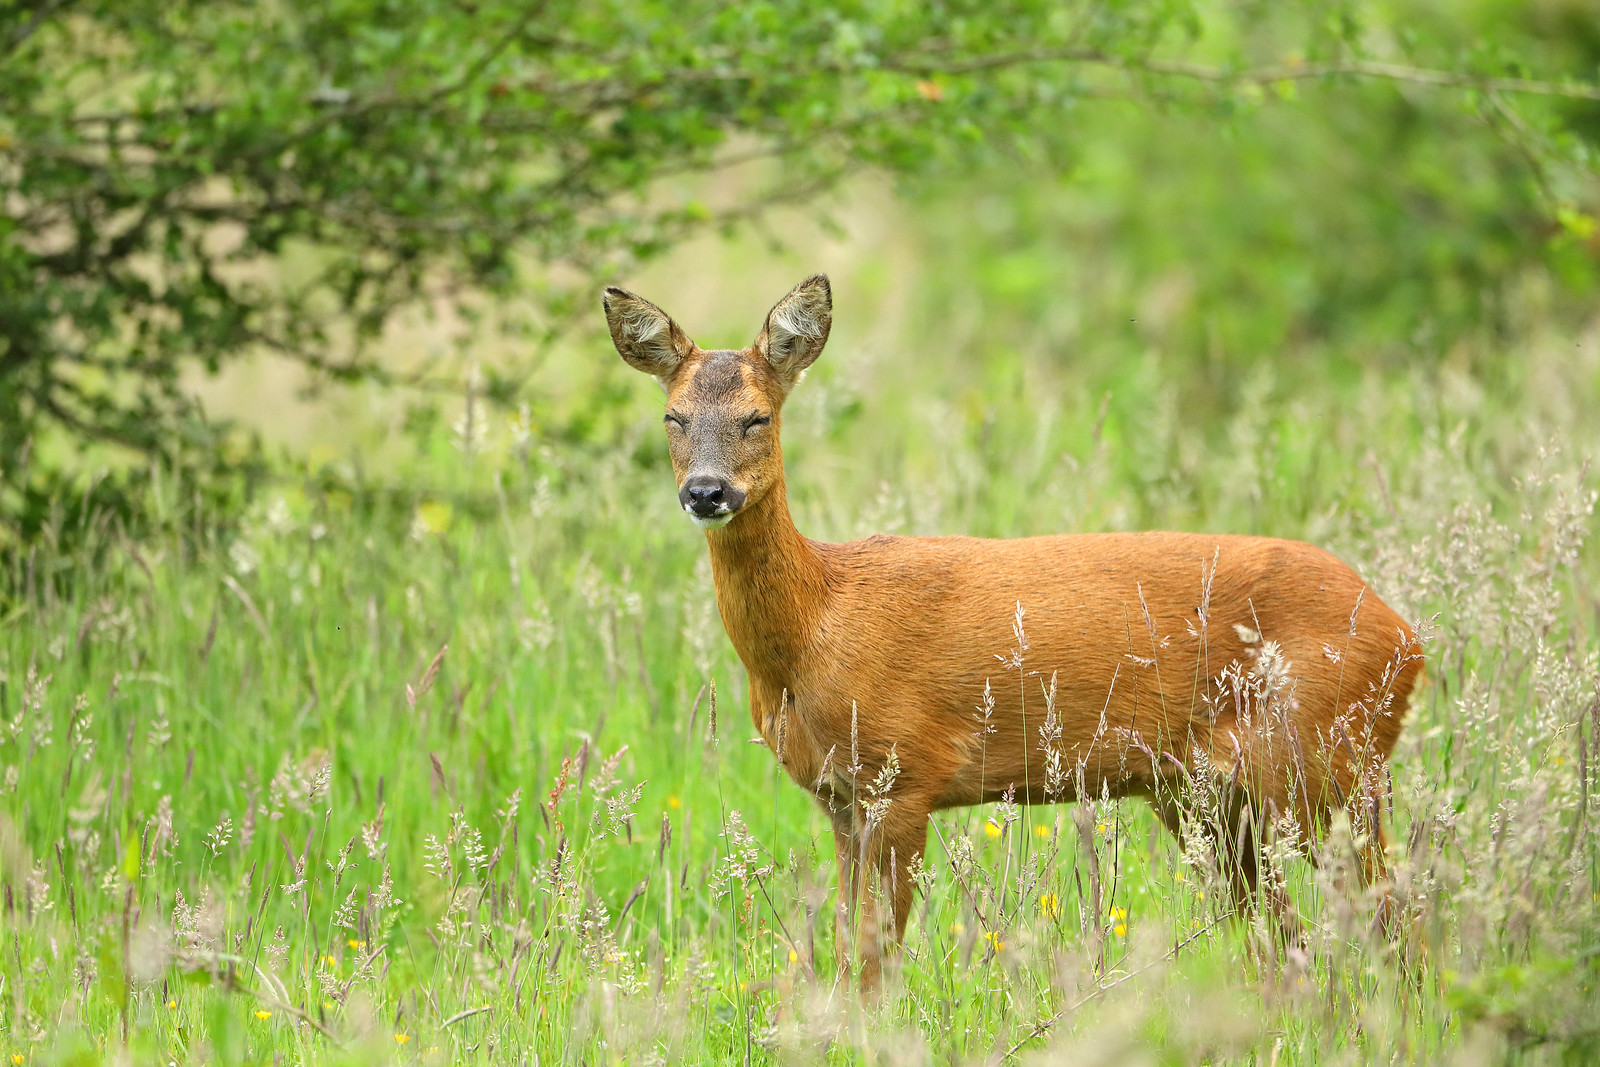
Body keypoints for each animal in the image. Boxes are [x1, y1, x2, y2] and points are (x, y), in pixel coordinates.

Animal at [601, 271, 1427, 991]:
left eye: (758, 416)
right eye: (673, 417)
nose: (707, 491)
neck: (814, 631)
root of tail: (1407, 635)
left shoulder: (902, 776)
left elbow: (874, 960)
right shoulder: (839, 797)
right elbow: (842, 946)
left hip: (1324, 760)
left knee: (1396, 916)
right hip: (1210, 794)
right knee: (1283, 933)